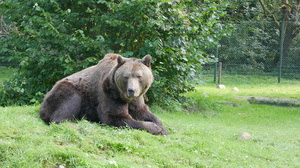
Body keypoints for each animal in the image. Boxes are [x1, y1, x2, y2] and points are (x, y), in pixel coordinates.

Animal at [39, 53, 169, 135]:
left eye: (139, 76)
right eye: (126, 76)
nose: (131, 90)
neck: (123, 96)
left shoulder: (137, 99)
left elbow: (143, 112)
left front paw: (163, 128)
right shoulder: (109, 93)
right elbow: (116, 117)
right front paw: (156, 129)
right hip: (67, 90)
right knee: (66, 107)